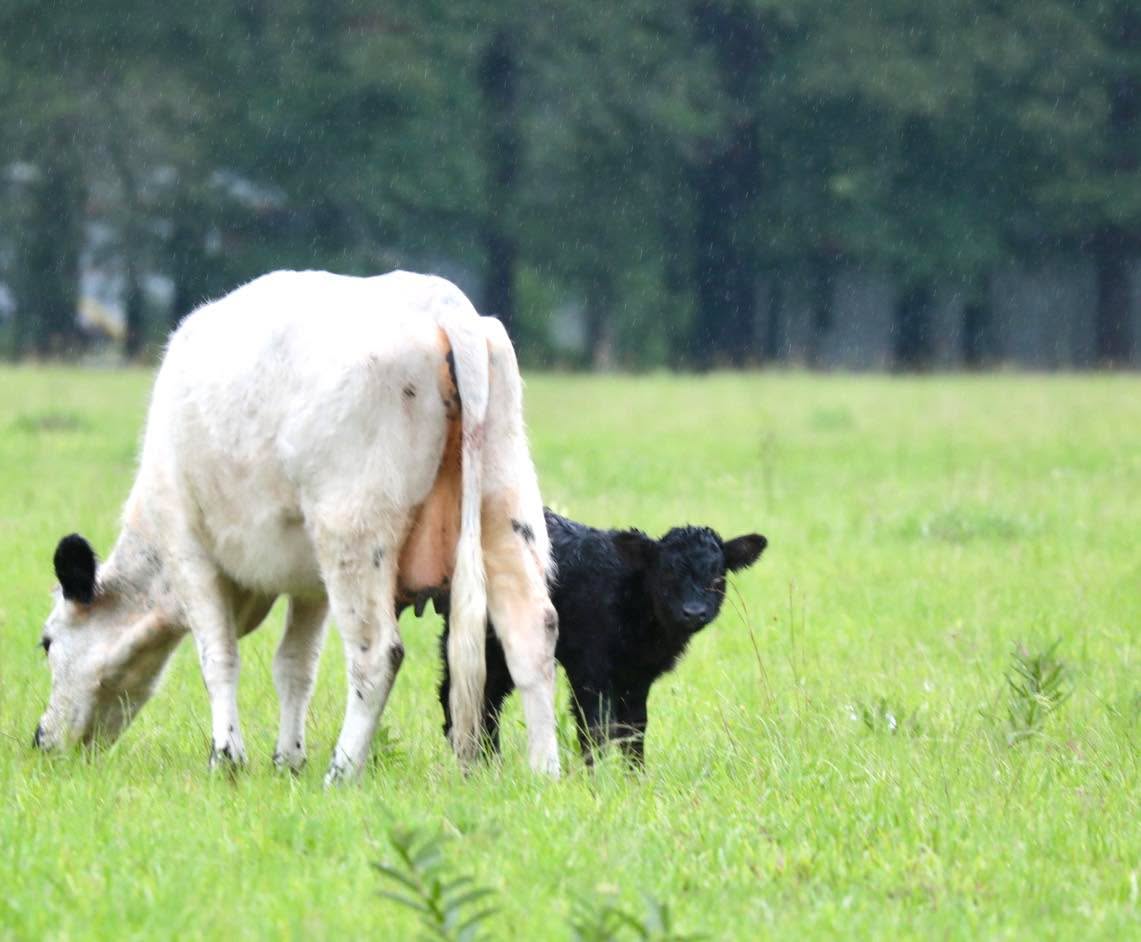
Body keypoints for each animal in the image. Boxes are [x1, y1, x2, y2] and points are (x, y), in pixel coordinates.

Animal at [34, 270, 560, 783]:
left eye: (47, 642)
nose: (40, 739)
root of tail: (446, 305)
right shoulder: (309, 584)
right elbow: (294, 666)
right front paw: (287, 759)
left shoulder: (190, 553)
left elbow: (218, 658)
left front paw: (227, 758)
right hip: (504, 511)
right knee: (531, 632)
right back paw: (544, 773)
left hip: (352, 532)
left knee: (377, 654)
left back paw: (341, 772)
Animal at [439, 508, 766, 766]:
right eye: (666, 573)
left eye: (717, 576)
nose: (694, 612)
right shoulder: (589, 666)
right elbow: (594, 726)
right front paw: (596, 779)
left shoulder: (637, 677)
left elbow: (634, 728)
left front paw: (636, 778)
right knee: (462, 693)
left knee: (488, 698)